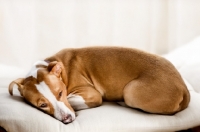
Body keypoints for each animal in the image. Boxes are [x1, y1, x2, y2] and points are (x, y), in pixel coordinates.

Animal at [9, 47, 191, 124]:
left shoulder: (92, 94)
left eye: (60, 93)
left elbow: (74, 100)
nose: (67, 119)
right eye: (42, 105)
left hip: (131, 92)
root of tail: (183, 87)